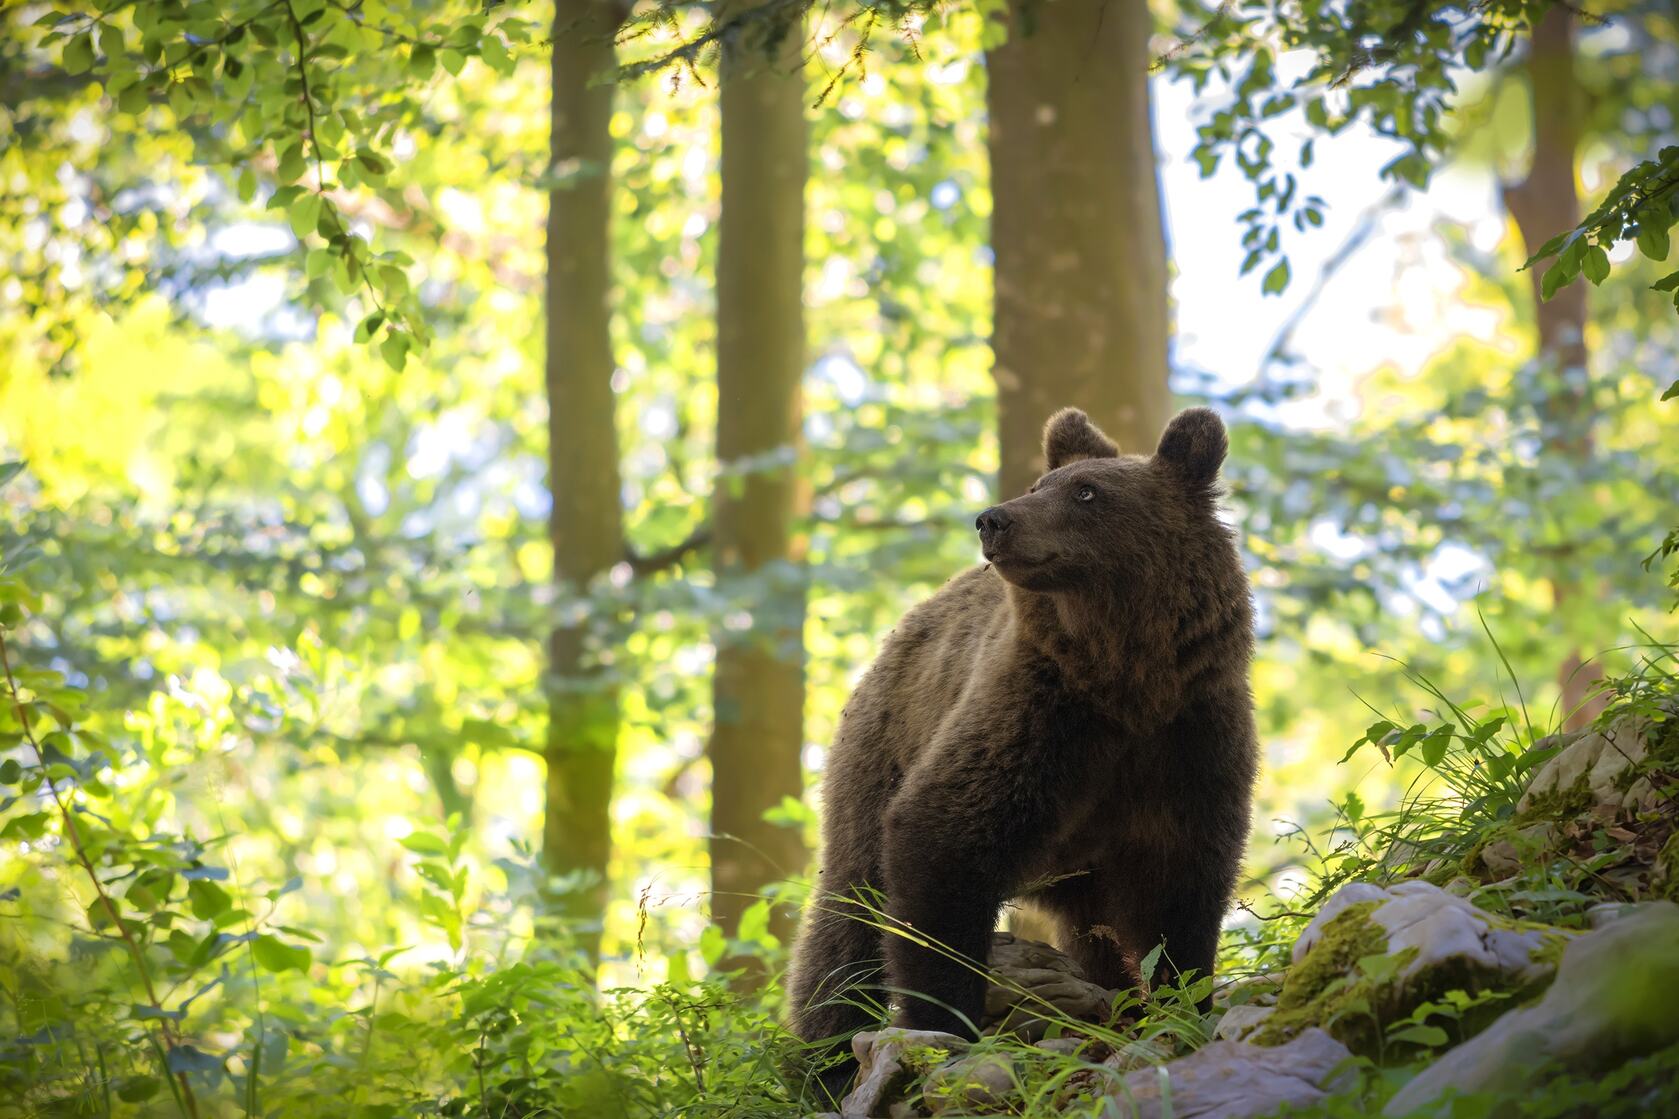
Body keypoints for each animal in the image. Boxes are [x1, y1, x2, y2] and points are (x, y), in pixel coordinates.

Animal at [782, 401, 1249, 1088]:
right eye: (1039, 485)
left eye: (1087, 491)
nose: (992, 519)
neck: (1124, 682)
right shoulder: (1036, 721)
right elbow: (941, 840)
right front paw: (945, 1025)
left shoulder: (1187, 741)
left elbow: (1181, 890)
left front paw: (1181, 1006)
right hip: (880, 751)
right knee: (848, 914)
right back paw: (829, 1056)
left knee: (1095, 935)